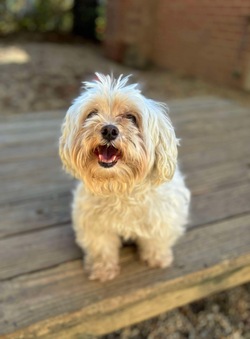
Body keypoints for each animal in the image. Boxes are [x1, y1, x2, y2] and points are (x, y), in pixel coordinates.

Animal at [59, 75, 189, 284]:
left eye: (131, 117)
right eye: (92, 113)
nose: (109, 130)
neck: (119, 187)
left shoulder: (164, 216)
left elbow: (157, 240)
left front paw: (157, 258)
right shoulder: (95, 225)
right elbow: (101, 247)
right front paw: (103, 269)